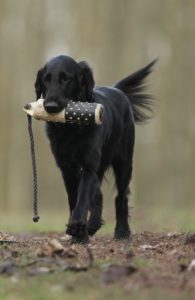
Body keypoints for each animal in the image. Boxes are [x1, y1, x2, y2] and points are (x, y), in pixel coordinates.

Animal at [34, 55, 155, 243]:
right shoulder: (67, 168)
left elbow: (83, 197)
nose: (51, 106)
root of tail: (116, 89)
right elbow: (74, 198)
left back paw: (122, 232)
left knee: (121, 197)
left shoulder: (89, 165)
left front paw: (77, 228)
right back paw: (92, 225)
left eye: (66, 79)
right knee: (98, 195)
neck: (71, 129)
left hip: (124, 162)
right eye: (46, 79)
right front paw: (79, 234)